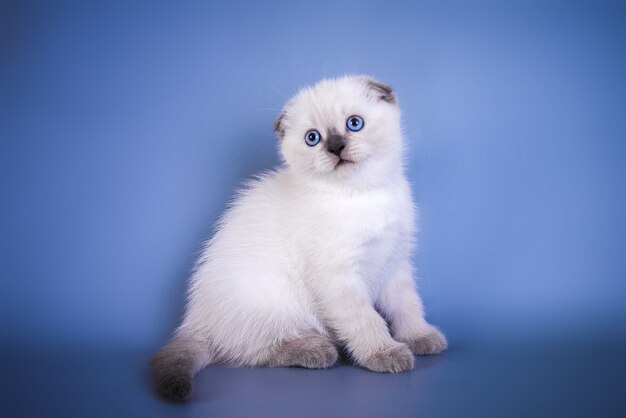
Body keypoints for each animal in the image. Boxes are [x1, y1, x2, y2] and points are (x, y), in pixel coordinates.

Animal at [150, 76, 444, 402]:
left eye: (354, 123)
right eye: (313, 138)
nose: (336, 146)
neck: (361, 194)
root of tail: (194, 322)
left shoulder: (395, 262)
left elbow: (407, 305)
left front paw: (420, 336)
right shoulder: (338, 279)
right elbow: (366, 320)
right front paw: (385, 353)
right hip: (276, 296)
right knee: (251, 352)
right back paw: (316, 350)